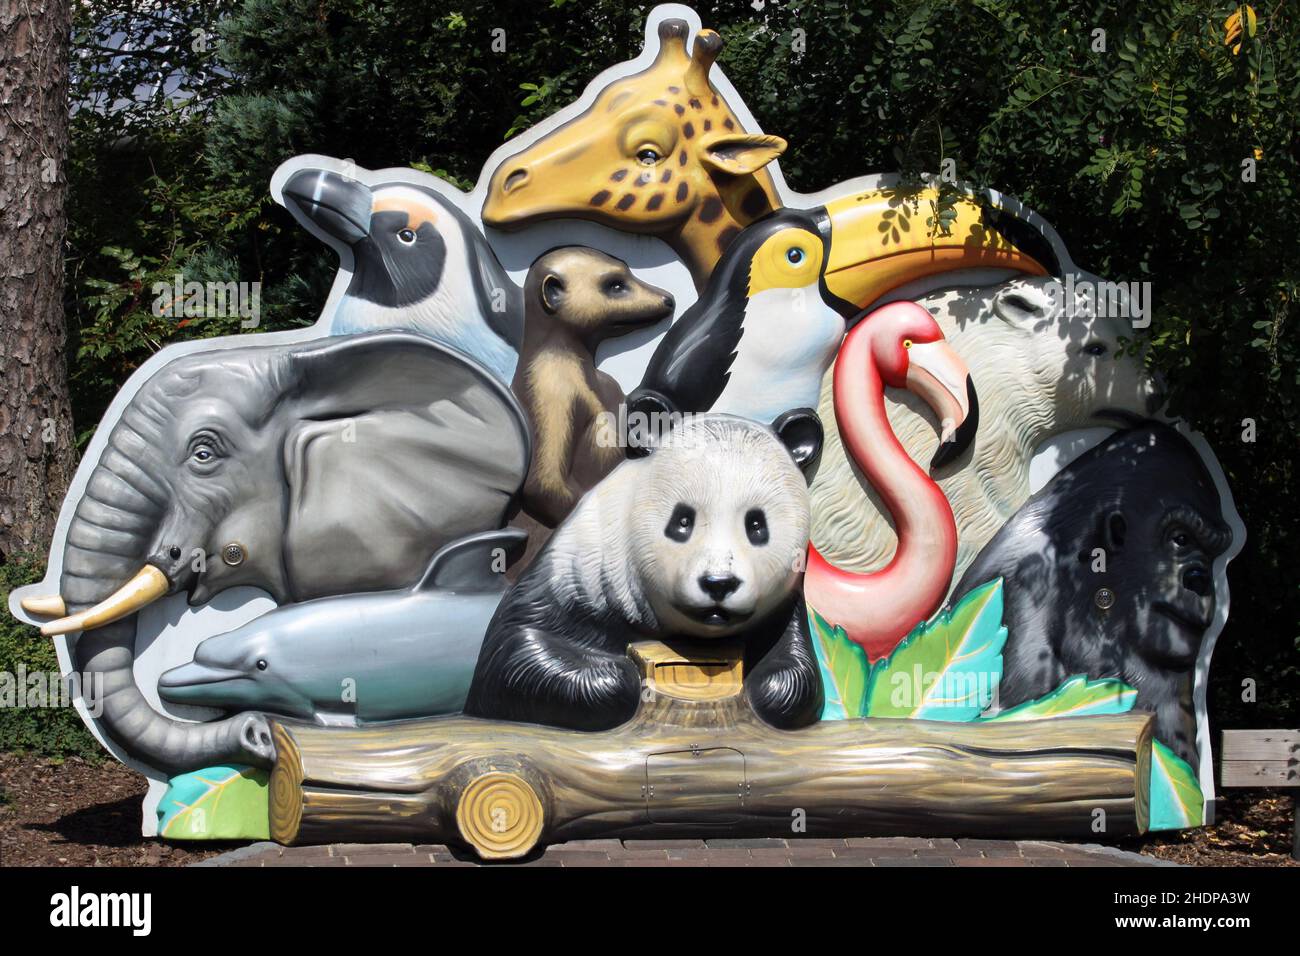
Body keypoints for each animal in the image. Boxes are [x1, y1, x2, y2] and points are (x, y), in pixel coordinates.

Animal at [465, 411, 821, 733]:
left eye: (757, 525)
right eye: (682, 520)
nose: (718, 584)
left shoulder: (783, 607)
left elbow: (797, 672)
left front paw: (769, 688)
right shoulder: (578, 570)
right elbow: (511, 654)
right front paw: (619, 675)